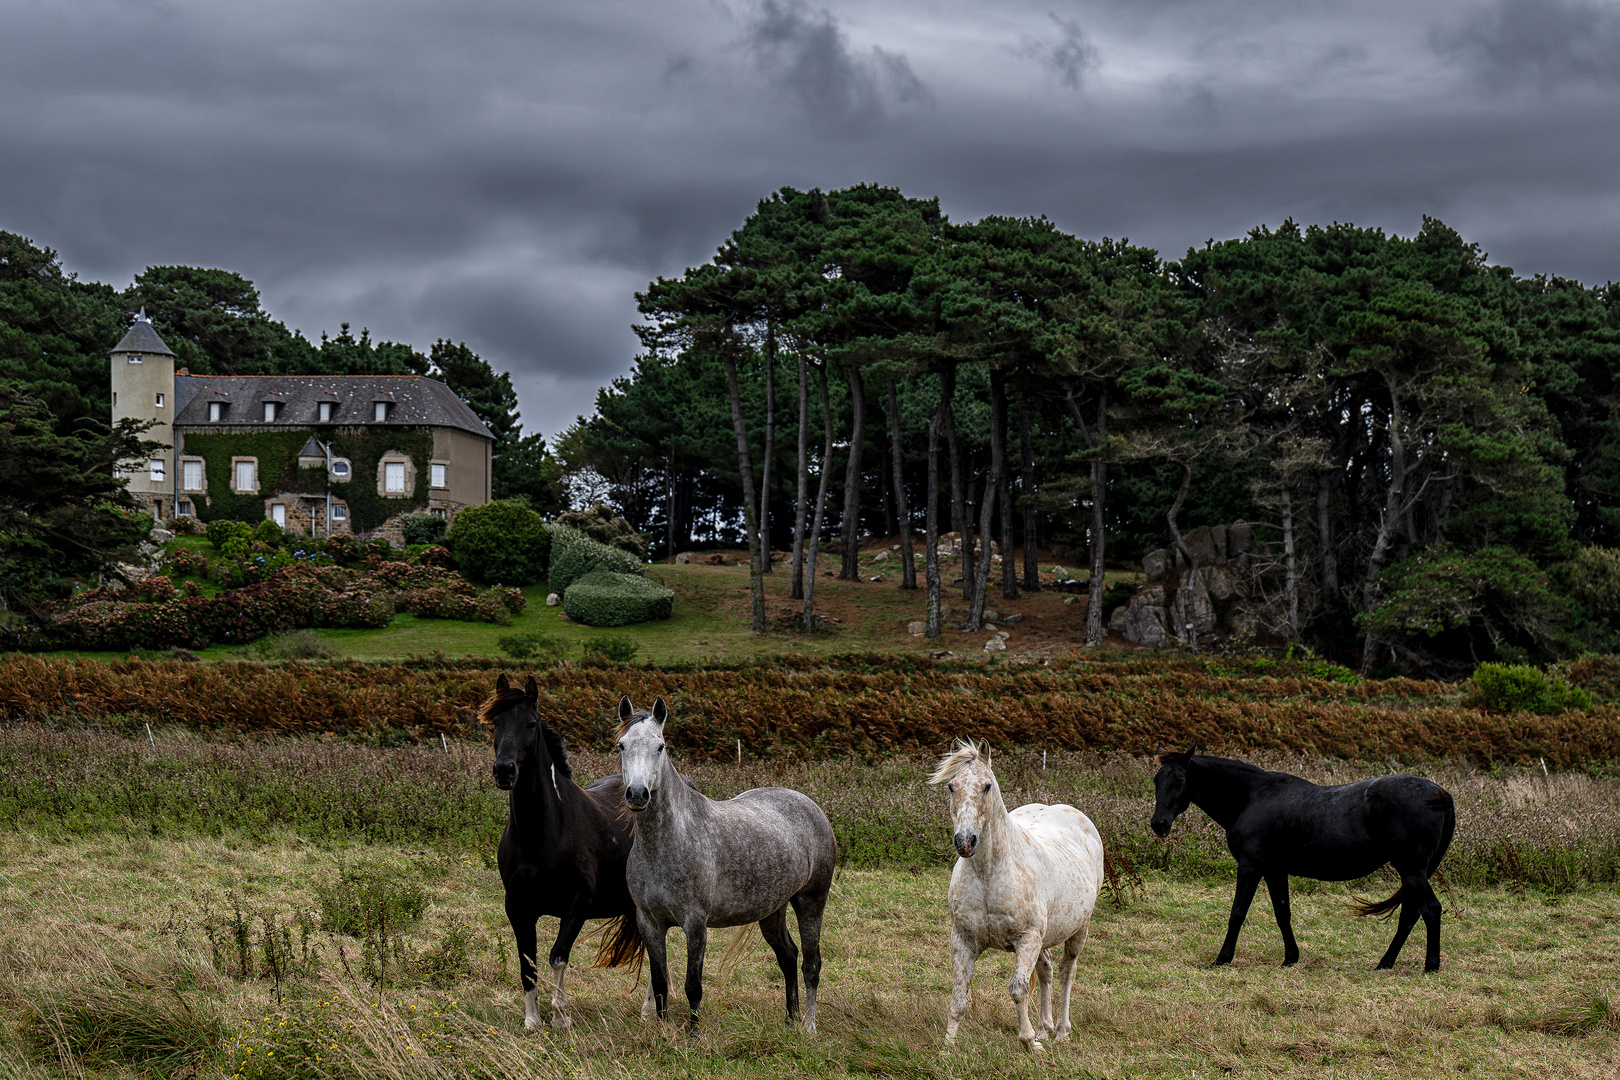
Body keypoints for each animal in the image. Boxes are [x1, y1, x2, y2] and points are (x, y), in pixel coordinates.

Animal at [486, 676, 644, 1029]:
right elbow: (527, 961)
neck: (541, 833)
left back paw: (649, 1012)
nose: (504, 771)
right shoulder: (517, 907)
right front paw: (532, 1020)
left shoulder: (577, 903)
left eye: (531, 724)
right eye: (495, 724)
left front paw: (561, 1015)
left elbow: (558, 956)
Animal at [933, 738, 1108, 1049]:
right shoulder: (963, 941)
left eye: (987, 786)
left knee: (1066, 972)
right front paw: (948, 1047)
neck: (989, 875)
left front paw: (1028, 1043)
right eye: (951, 786)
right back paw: (1044, 1029)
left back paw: (1060, 1031)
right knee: (1047, 970)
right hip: (1044, 938)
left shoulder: (1027, 939)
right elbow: (958, 997)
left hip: (1078, 930)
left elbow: (1018, 989)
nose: (965, 841)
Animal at [1153, 748, 1458, 977]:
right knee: (1410, 914)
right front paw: (1290, 958)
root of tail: (1440, 794)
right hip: (1414, 872)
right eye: (1156, 780)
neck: (1252, 798)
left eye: (1180, 781)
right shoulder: (1274, 870)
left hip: (1410, 868)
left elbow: (1237, 912)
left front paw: (1222, 959)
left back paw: (1430, 966)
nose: (1159, 824)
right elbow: (1282, 913)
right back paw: (1385, 963)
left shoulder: (1250, 866)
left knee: (1430, 909)